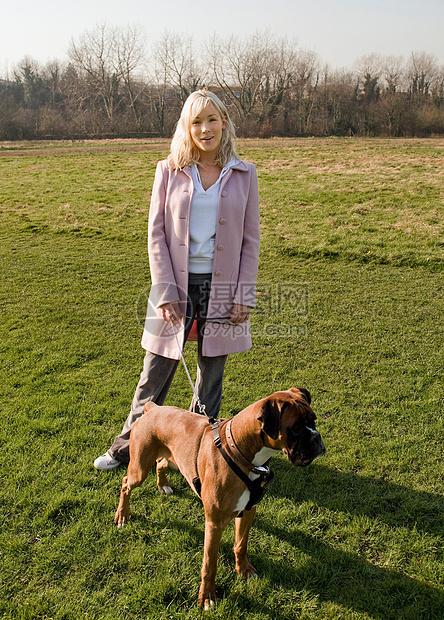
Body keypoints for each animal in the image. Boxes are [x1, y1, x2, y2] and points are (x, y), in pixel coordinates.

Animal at [112, 388, 324, 612]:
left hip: (173, 459)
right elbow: (209, 563)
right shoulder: (214, 524)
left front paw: (244, 570)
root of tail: (153, 408)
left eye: (314, 420)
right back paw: (122, 516)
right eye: (295, 429)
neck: (239, 450)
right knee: (126, 484)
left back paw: (163, 485)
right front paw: (207, 596)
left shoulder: (249, 510)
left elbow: (241, 545)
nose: (317, 438)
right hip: (139, 469)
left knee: (161, 463)